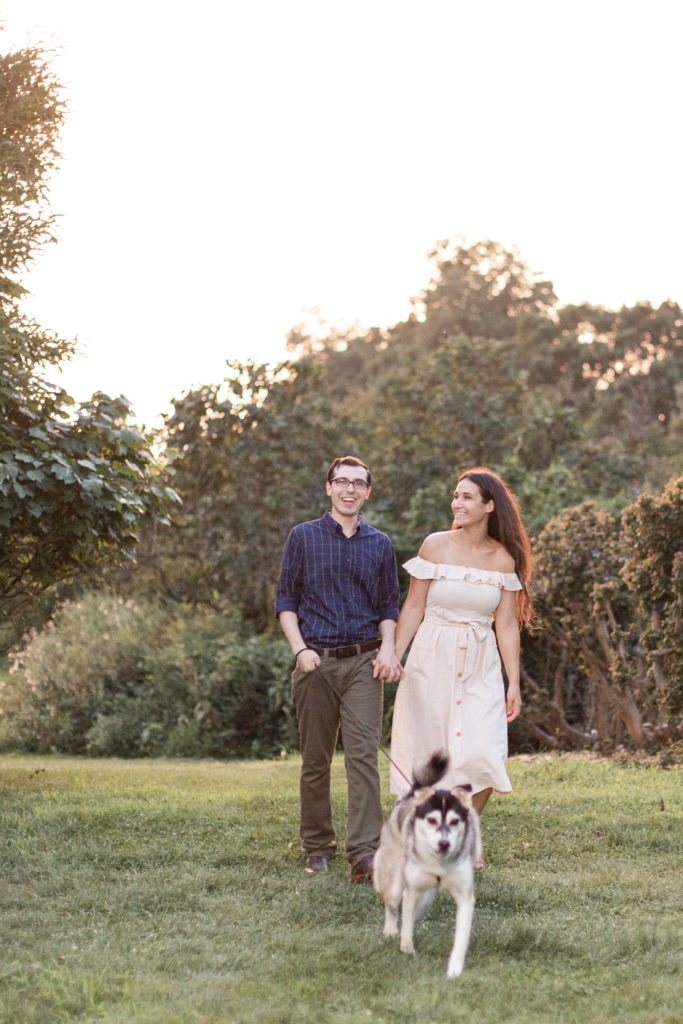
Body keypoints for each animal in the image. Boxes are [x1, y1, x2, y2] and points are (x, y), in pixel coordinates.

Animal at [374, 753, 481, 974]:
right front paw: (407, 949)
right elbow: (406, 924)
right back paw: (390, 931)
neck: (439, 864)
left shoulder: (465, 897)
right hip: (396, 883)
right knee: (392, 906)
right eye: (431, 820)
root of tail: (409, 797)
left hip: (426, 900)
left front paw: (455, 968)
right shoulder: (411, 891)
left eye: (455, 821)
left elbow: (461, 936)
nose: (444, 843)